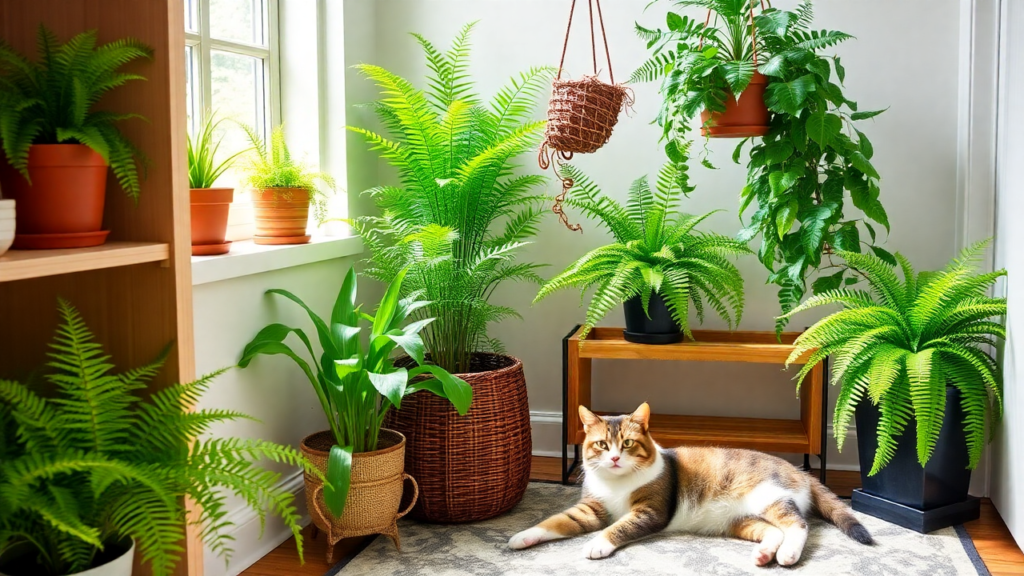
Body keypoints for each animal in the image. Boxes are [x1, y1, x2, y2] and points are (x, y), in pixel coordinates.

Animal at [505, 401, 872, 561]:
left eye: (627, 443)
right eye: (601, 445)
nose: (615, 458)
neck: (616, 483)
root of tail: (800, 471)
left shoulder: (649, 511)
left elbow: (619, 526)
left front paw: (597, 543)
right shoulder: (590, 509)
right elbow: (556, 520)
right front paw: (522, 536)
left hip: (770, 496)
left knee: (797, 525)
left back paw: (788, 555)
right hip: (742, 520)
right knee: (773, 532)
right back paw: (766, 553)